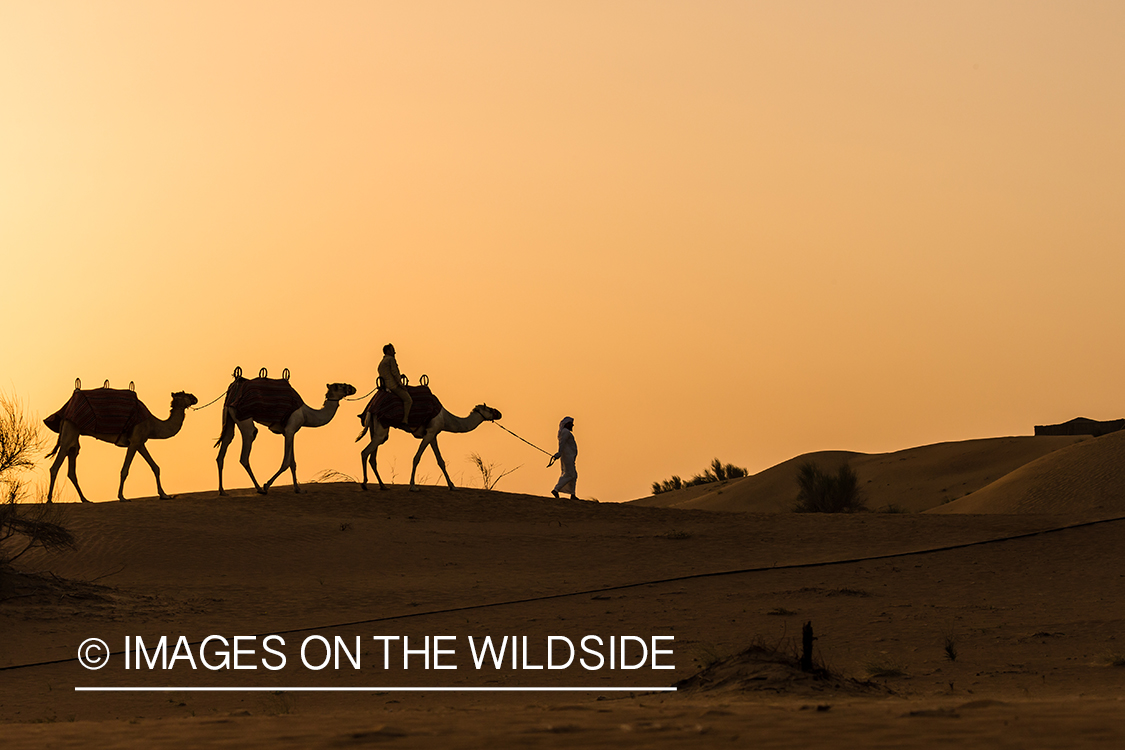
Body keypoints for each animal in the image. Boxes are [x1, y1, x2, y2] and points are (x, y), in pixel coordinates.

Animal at [45, 391, 199, 501]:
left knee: (72, 462)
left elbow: (155, 467)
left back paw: (85, 499)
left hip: (74, 434)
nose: (195, 398)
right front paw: (122, 497)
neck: (153, 425)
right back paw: (49, 499)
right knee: (55, 466)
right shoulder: (135, 441)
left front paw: (164, 495)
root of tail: (65, 412)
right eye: (186, 394)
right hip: (70, 429)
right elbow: (125, 470)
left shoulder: (140, 443)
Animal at [217, 377, 357, 494]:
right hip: (244, 418)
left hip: (228, 415)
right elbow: (285, 462)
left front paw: (298, 489)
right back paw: (259, 488)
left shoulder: (290, 432)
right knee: (246, 450)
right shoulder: (290, 429)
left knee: (225, 443)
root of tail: (233, 391)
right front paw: (267, 485)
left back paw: (222, 491)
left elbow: (292, 462)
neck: (306, 414)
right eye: (340, 385)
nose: (353, 388)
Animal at [357, 393, 504, 492]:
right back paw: (364, 484)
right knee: (365, 452)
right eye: (489, 409)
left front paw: (452, 486)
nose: (499, 413)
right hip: (382, 428)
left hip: (374, 428)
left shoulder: (433, 435)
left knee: (372, 457)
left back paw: (382, 485)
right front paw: (413, 486)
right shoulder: (430, 433)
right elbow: (417, 458)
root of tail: (371, 408)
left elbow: (441, 461)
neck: (445, 418)